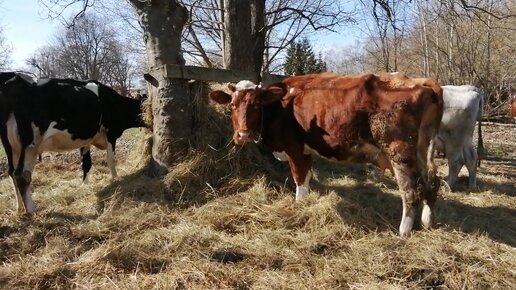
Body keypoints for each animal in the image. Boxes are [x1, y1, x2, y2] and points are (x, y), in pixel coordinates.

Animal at [0, 72, 145, 213]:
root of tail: (11, 78)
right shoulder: (111, 133)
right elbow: (110, 160)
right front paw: (116, 180)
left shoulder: (86, 140)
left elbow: (86, 163)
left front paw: (84, 185)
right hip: (30, 143)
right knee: (21, 175)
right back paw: (31, 210)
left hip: (10, 145)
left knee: (11, 172)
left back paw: (19, 208)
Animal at [210, 73, 444, 236]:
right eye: (233, 105)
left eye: (257, 104)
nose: (244, 135)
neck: (280, 106)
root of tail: (422, 81)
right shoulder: (306, 151)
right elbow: (307, 177)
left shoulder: (294, 149)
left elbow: (300, 180)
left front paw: (300, 207)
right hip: (423, 149)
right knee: (431, 183)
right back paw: (427, 222)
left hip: (400, 152)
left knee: (410, 191)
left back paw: (403, 230)